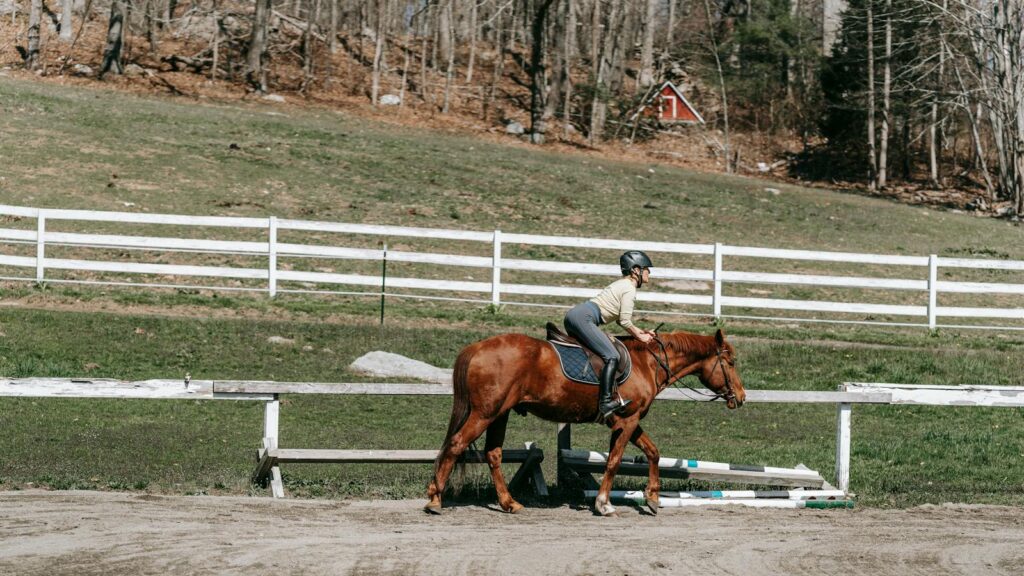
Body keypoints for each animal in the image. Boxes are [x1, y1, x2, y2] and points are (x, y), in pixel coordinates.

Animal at [424, 328, 745, 516]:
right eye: (730, 362)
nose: (741, 397)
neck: (648, 362)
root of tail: (477, 348)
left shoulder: (629, 421)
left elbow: (652, 452)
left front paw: (653, 497)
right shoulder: (626, 421)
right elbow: (614, 461)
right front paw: (603, 504)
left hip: (499, 414)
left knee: (493, 454)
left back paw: (508, 503)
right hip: (484, 413)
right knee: (456, 445)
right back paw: (435, 500)